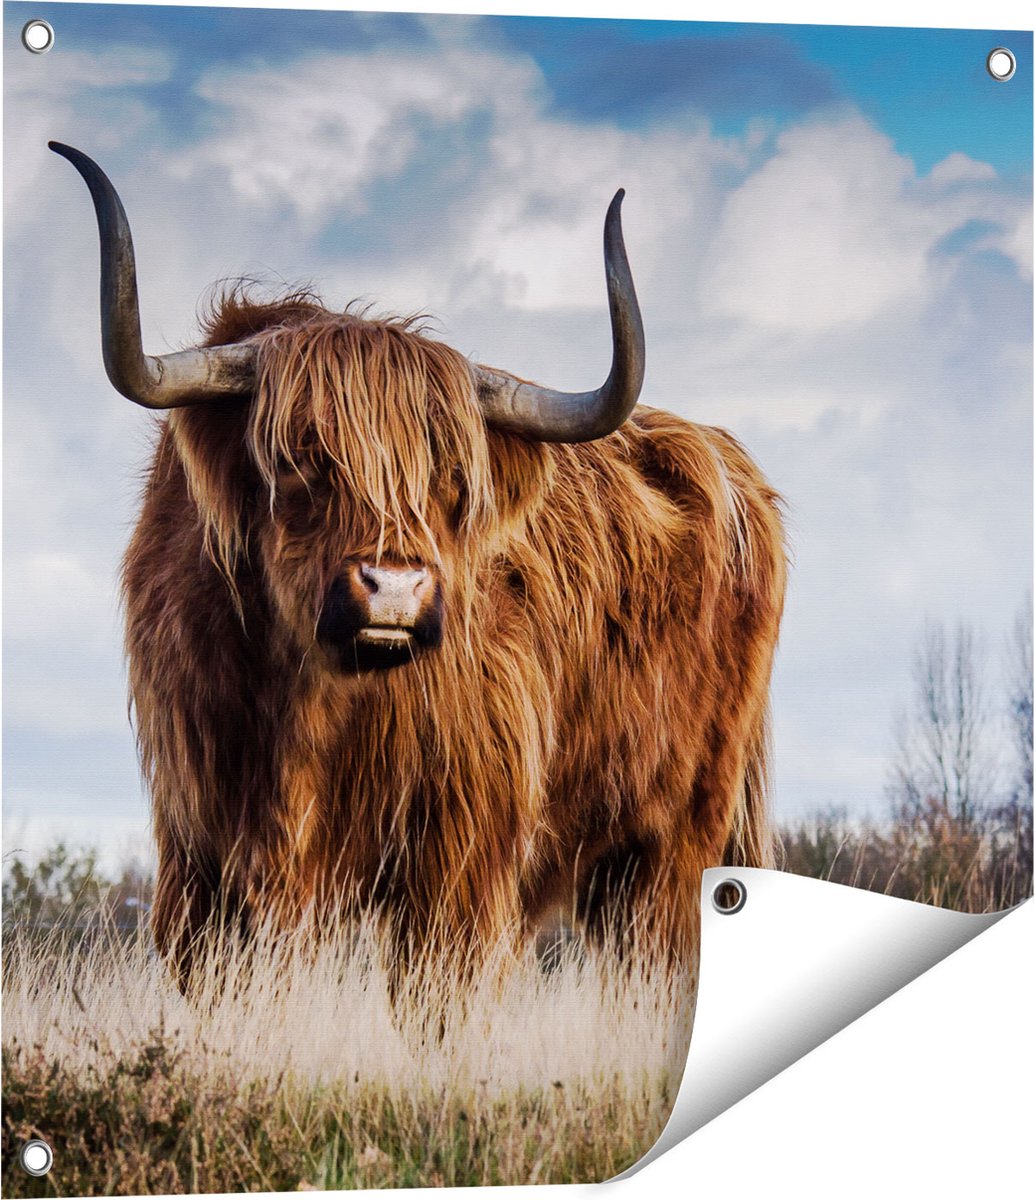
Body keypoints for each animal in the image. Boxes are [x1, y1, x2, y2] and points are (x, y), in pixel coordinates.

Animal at [52, 141, 786, 988]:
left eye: (452, 478)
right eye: (301, 459)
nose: (394, 589)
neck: (303, 708)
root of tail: (730, 463)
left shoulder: (458, 853)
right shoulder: (199, 852)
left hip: (677, 840)